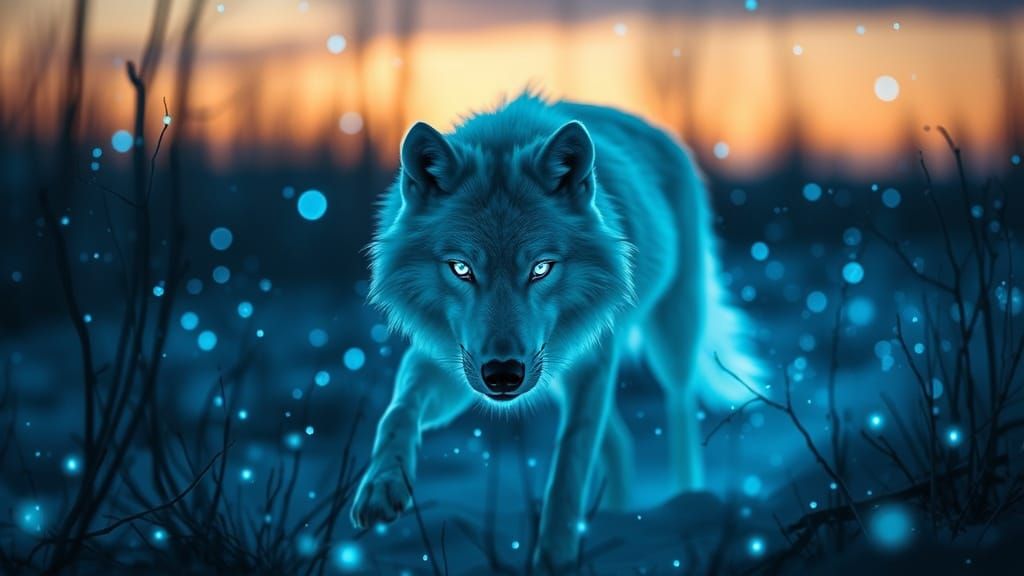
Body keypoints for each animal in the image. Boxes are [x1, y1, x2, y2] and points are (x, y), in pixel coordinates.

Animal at [350, 93, 760, 570]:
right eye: (461, 269)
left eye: (541, 268)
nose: (503, 375)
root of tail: (656, 130)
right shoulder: (452, 363)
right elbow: (397, 412)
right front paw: (381, 486)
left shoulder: (594, 363)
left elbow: (570, 464)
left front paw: (555, 559)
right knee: (620, 443)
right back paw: (619, 517)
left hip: (672, 335)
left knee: (679, 407)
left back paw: (688, 503)